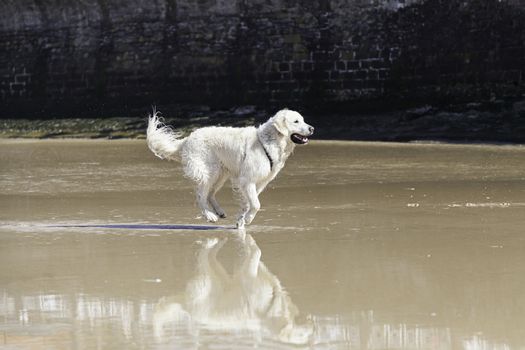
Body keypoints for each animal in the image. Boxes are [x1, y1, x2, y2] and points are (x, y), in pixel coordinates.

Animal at [145, 108, 314, 227]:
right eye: (296, 121)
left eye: (303, 120)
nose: (312, 128)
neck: (268, 142)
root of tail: (187, 139)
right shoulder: (247, 180)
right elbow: (256, 204)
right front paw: (248, 219)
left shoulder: (258, 183)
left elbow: (249, 203)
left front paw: (241, 220)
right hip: (209, 172)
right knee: (200, 196)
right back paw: (210, 216)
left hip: (222, 174)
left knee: (210, 194)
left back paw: (219, 212)